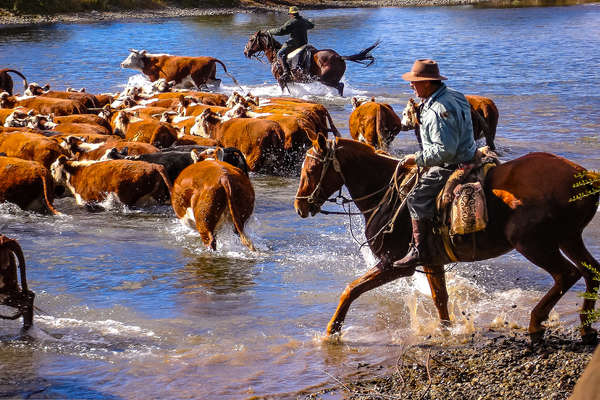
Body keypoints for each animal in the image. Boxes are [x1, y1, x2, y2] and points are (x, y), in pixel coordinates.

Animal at [243, 31, 376, 95]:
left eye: (251, 40)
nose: (245, 52)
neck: (276, 55)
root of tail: (339, 57)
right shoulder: (290, 82)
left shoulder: (281, 81)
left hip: (325, 80)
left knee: (340, 86)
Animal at [294, 136, 600, 342]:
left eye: (310, 169)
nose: (300, 205)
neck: (387, 193)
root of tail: (585, 176)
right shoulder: (431, 260)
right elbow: (440, 297)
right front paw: (447, 330)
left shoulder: (395, 265)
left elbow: (351, 290)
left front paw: (331, 332)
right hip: (569, 238)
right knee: (591, 272)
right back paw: (585, 325)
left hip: (534, 244)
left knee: (567, 274)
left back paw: (536, 322)